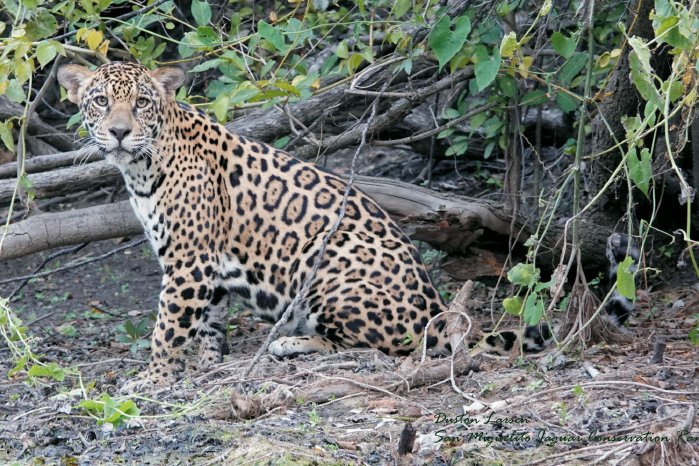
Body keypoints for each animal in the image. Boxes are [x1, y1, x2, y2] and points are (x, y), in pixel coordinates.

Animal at [58, 62, 549, 388]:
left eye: (142, 103)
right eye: (101, 101)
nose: (119, 132)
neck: (142, 168)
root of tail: (436, 309)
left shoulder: (188, 262)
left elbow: (168, 326)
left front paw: (155, 378)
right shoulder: (205, 264)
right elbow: (210, 322)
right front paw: (209, 364)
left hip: (331, 259)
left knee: (384, 347)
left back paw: (290, 345)